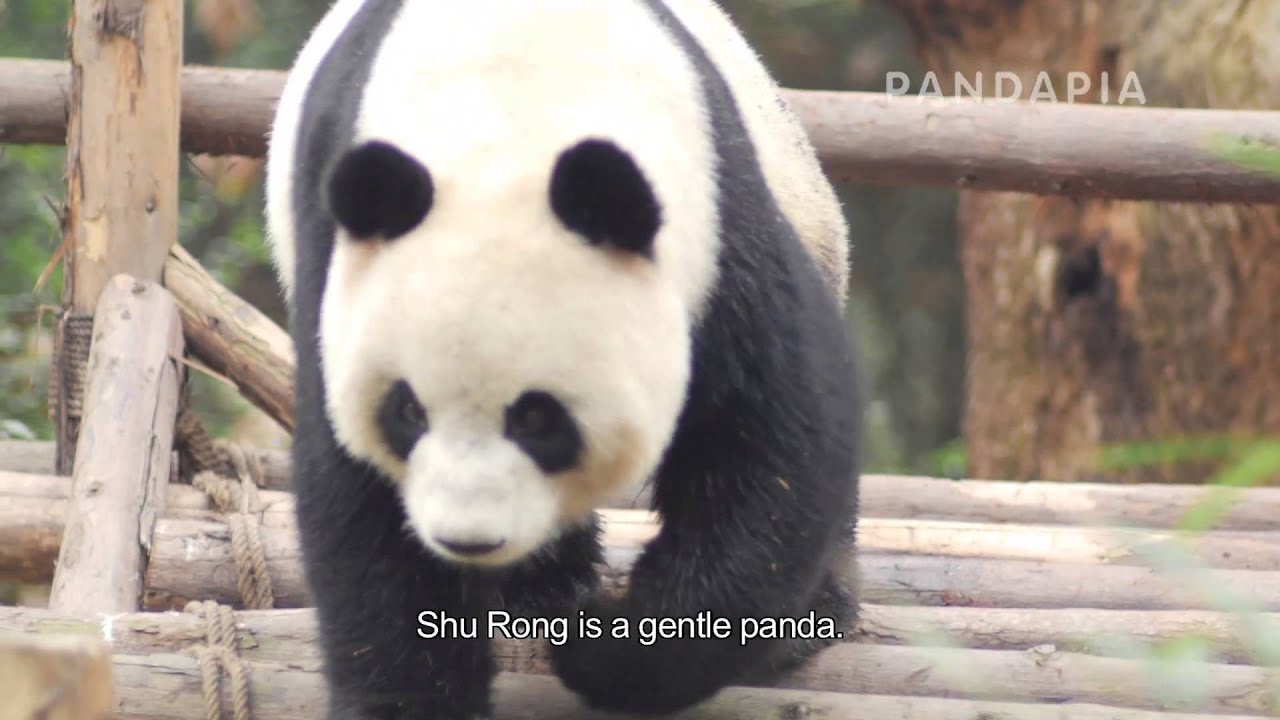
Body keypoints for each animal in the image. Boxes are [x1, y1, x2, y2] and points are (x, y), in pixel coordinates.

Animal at [263, 1, 862, 718]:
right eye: (406, 410)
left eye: (538, 418)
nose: (468, 541)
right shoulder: (338, 268)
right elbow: (361, 504)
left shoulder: (720, 230)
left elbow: (769, 447)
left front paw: (601, 646)